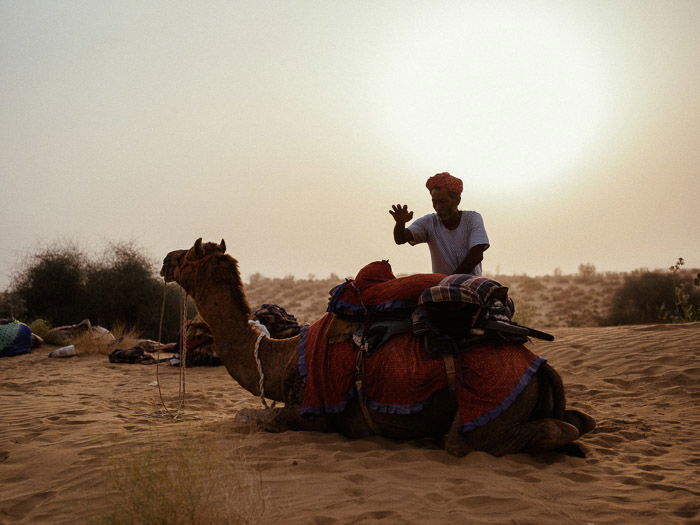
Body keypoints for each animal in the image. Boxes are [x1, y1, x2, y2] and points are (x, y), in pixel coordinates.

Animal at [161, 238, 592, 454]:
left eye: (188, 255)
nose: (165, 260)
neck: (281, 360)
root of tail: (539, 365)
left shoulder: (308, 413)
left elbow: (248, 418)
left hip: (491, 411)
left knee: (534, 433)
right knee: (580, 420)